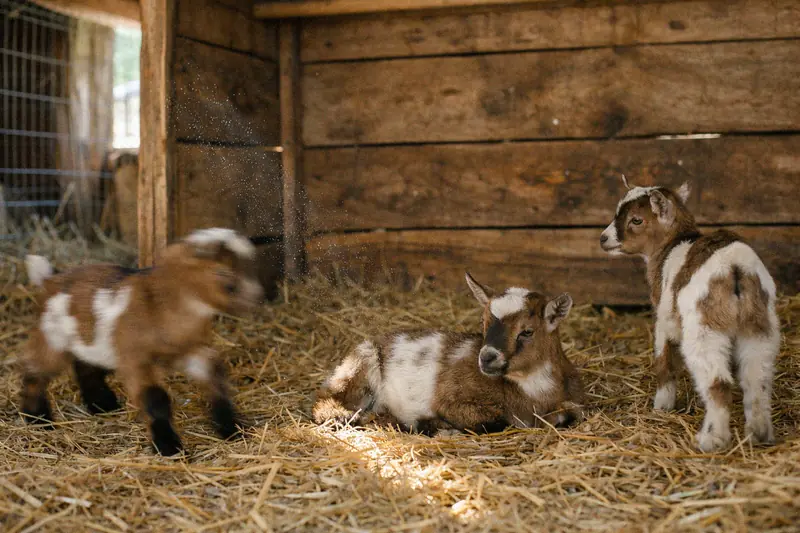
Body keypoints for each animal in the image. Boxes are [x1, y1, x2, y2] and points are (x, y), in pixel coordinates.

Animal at [20, 228, 264, 456]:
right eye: (222, 273)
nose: (257, 299)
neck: (160, 304)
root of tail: (50, 280)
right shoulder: (136, 359)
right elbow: (155, 399)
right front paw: (169, 447)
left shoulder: (194, 350)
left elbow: (217, 383)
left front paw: (233, 429)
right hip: (52, 340)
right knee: (35, 374)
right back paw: (38, 418)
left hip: (94, 343)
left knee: (85, 367)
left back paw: (103, 405)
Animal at [313, 273, 584, 435]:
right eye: (484, 323)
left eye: (527, 331)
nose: (486, 357)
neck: (532, 390)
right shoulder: (451, 402)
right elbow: (498, 421)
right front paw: (434, 424)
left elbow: (571, 413)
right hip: (362, 363)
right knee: (327, 403)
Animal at [600, 178, 780, 451]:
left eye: (636, 220)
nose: (603, 238)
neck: (672, 245)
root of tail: (735, 270)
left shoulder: (664, 319)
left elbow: (663, 360)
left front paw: (662, 406)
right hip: (759, 324)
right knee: (757, 376)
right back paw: (759, 434)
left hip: (704, 328)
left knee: (718, 382)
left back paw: (711, 439)